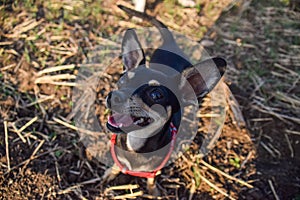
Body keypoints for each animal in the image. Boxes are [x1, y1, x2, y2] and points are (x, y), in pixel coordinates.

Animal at [102, 5, 226, 197]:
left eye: (156, 95)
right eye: (122, 82)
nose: (114, 95)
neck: (136, 142)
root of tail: (171, 43)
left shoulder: (154, 169)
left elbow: (151, 178)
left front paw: (152, 191)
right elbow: (117, 163)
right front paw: (111, 172)